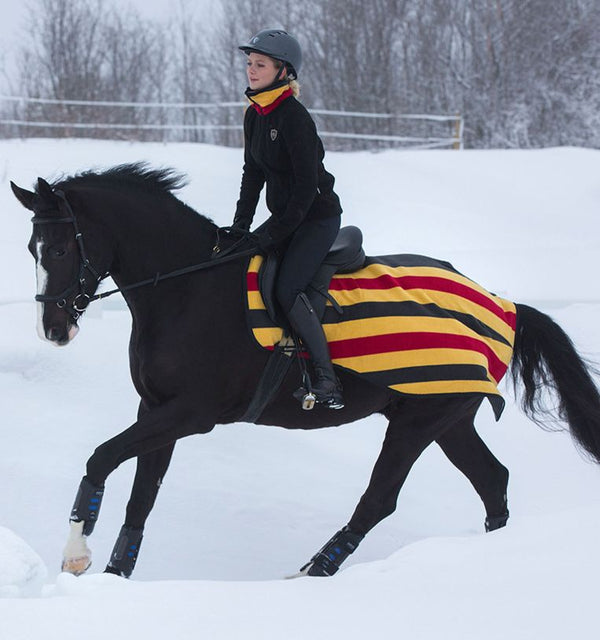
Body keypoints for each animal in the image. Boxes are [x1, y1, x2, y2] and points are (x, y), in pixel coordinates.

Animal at [9, 165, 600, 580]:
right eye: (32, 248)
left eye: (58, 248)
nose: (53, 329)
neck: (188, 288)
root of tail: (502, 305)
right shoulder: (157, 410)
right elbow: (141, 496)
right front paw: (114, 575)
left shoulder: (190, 414)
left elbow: (101, 457)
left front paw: (77, 558)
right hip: (447, 418)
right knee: (492, 480)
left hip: (418, 422)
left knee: (380, 498)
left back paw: (313, 571)